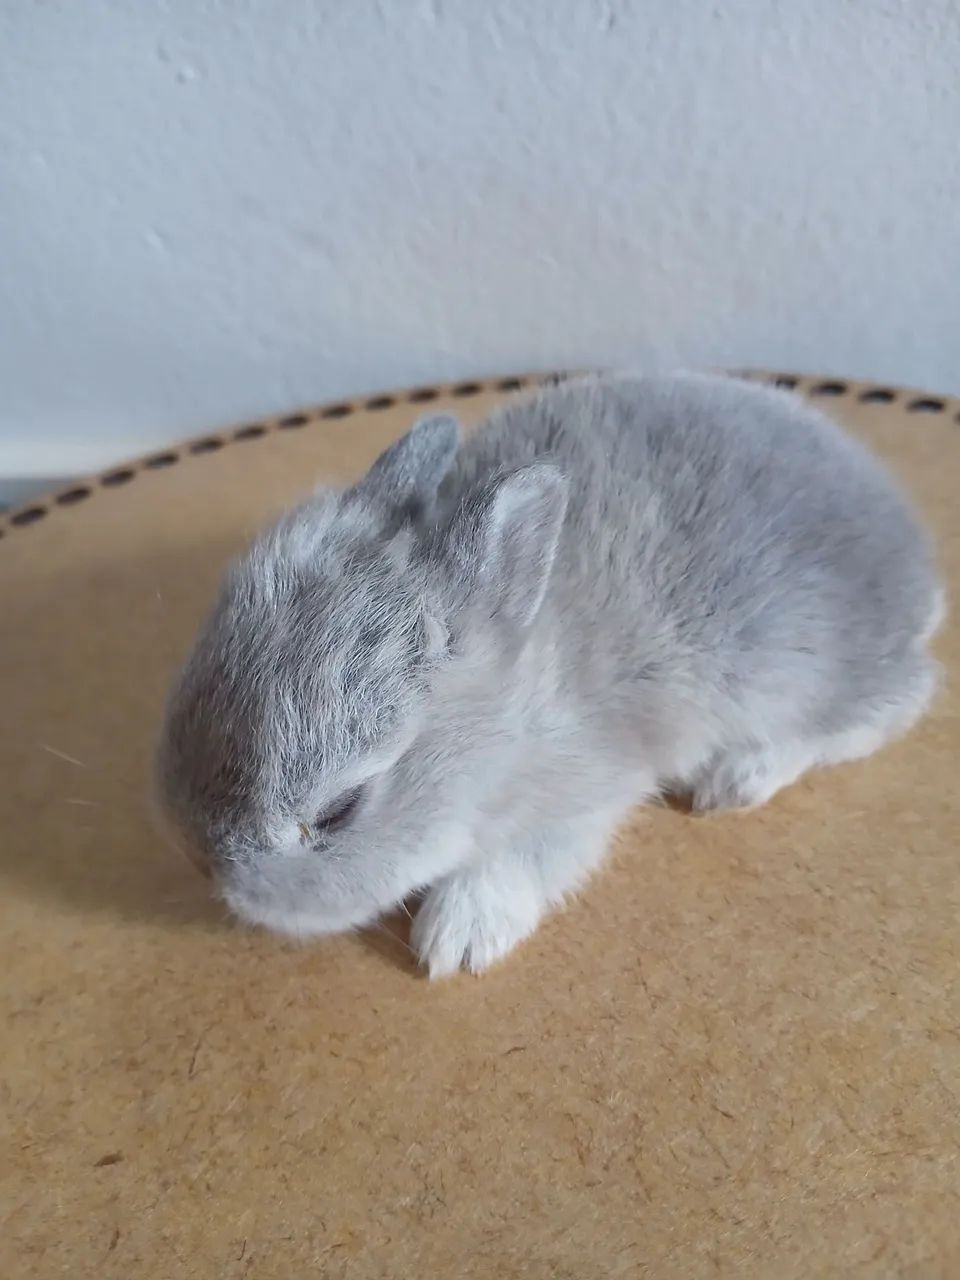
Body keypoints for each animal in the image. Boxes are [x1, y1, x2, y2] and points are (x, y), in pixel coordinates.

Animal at [156, 372, 945, 977]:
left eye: (337, 812)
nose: (200, 862)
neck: (522, 698)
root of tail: (917, 566)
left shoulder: (583, 796)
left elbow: (521, 859)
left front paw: (456, 938)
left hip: (809, 678)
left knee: (890, 706)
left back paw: (737, 776)